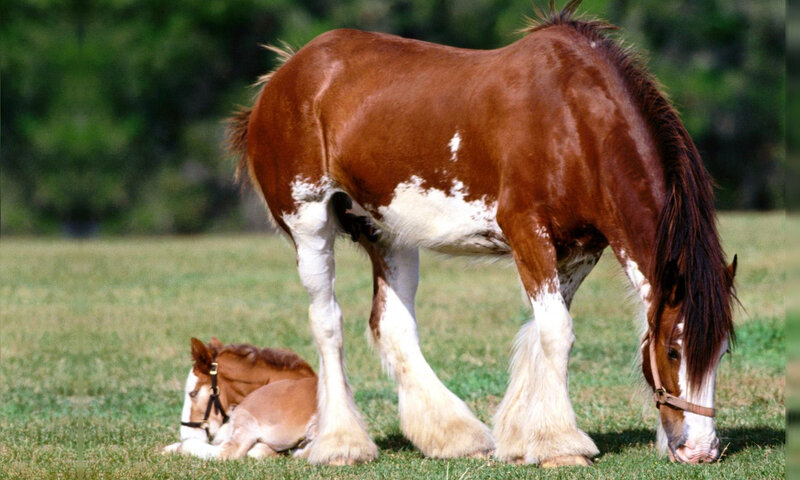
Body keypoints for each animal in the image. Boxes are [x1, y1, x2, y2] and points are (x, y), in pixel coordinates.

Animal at [227, 0, 737, 467]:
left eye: (721, 352)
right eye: (673, 351)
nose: (701, 450)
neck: (573, 120)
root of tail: (282, 77)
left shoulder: (580, 250)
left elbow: (539, 332)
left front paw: (521, 437)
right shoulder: (527, 232)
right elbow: (556, 332)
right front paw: (561, 446)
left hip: (389, 233)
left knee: (392, 325)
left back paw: (455, 435)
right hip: (309, 223)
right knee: (327, 321)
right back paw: (342, 444)